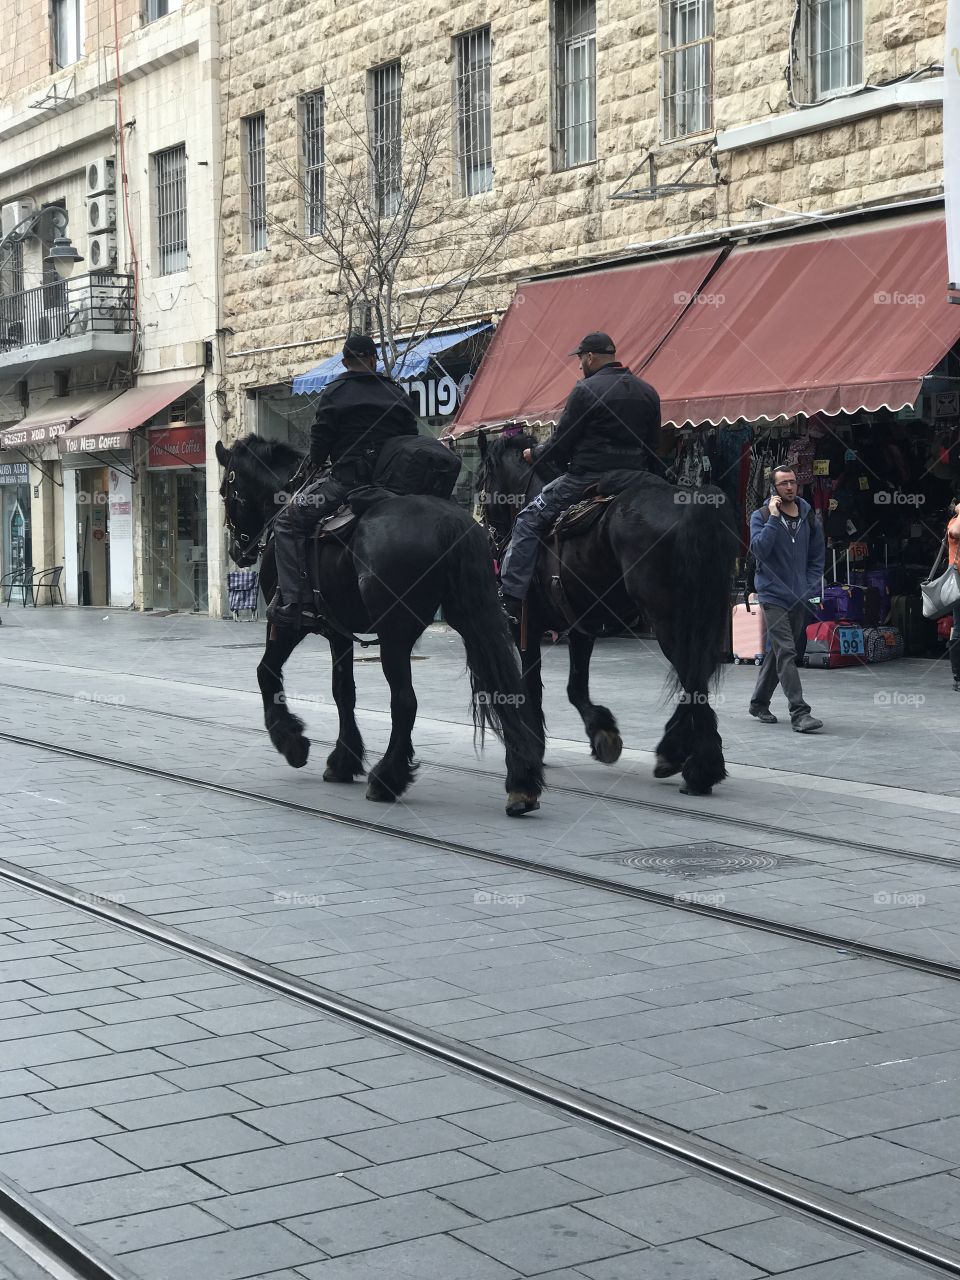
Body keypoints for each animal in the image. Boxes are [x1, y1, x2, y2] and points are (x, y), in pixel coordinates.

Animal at [220, 435, 547, 814]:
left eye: (226, 491)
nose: (237, 551)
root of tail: (448, 521)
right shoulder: (338, 632)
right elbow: (343, 691)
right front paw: (343, 760)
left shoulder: (288, 624)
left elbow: (266, 672)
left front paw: (293, 741)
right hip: (474, 618)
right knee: (506, 688)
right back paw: (522, 783)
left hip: (395, 634)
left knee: (405, 702)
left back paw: (387, 778)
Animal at [478, 435, 742, 793]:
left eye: (481, 481)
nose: (488, 536)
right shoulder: (580, 627)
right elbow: (576, 687)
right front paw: (602, 731)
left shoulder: (526, 626)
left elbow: (532, 688)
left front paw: (534, 747)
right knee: (695, 678)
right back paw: (680, 754)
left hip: (668, 621)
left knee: (692, 677)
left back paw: (699, 767)